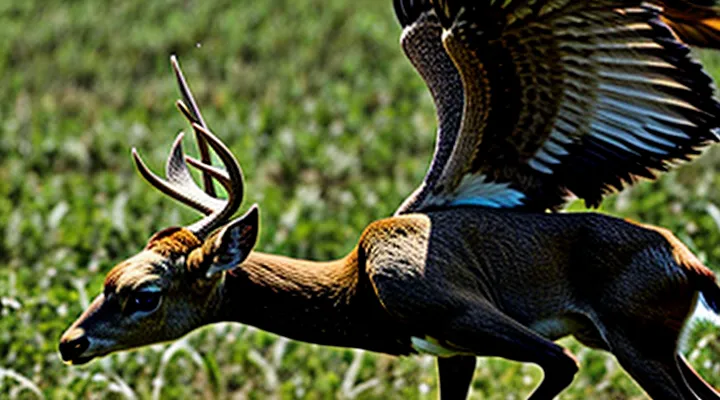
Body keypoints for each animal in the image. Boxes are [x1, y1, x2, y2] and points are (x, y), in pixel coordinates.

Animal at [60, 0, 720, 398]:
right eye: (109, 277)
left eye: (145, 293)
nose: (72, 342)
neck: (359, 283)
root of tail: (688, 262)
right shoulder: (453, 352)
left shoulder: (477, 321)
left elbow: (559, 367)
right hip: (641, 344)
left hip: (635, 345)